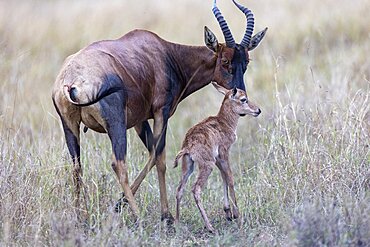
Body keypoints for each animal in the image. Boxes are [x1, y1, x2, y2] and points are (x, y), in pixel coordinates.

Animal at [173, 82, 260, 233]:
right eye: (243, 99)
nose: (258, 110)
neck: (223, 122)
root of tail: (188, 146)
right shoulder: (224, 154)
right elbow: (230, 178)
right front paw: (236, 214)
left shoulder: (218, 158)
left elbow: (224, 176)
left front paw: (228, 212)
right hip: (207, 166)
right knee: (196, 189)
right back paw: (210, 227)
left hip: (188, 166)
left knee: (179, 190)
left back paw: (177, 223)